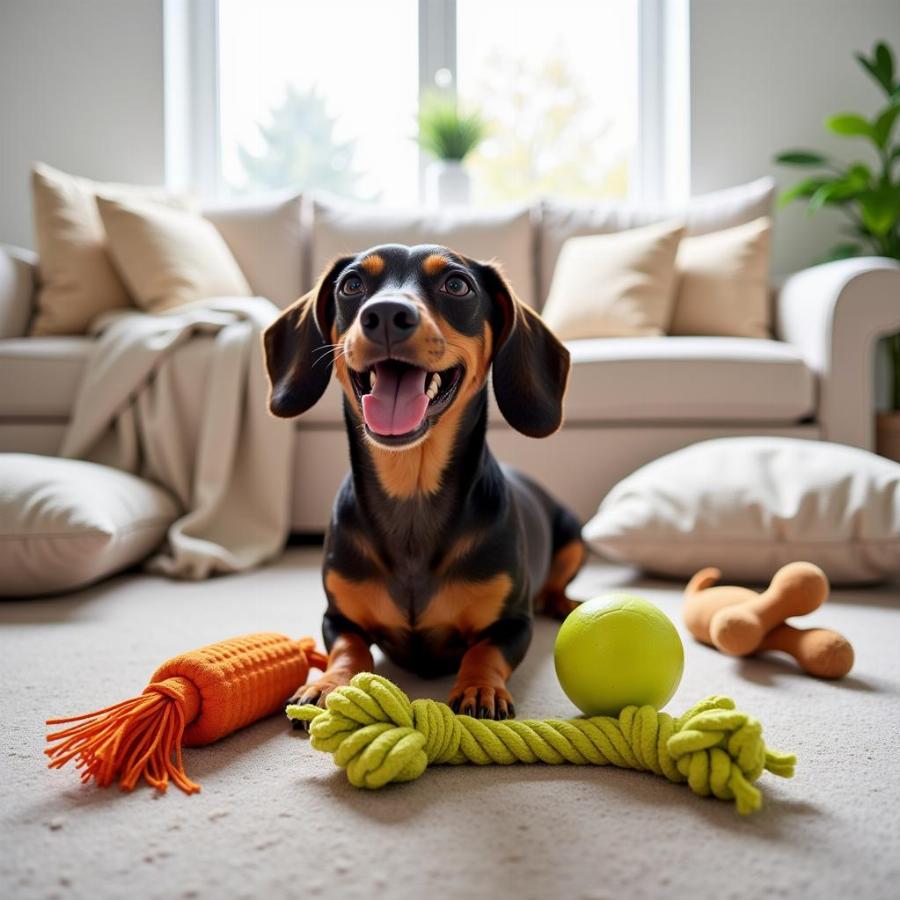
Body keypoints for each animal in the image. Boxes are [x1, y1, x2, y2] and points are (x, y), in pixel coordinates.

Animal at [262, 243, 584, 720]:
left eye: (457, 284)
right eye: (351, 284)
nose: (386, 314)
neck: (410, 491)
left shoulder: (513, 623)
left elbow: (484, 650)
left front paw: (479, 689)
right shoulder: (337, 618)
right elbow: (348, 648)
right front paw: (329, 683)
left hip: (575, 535)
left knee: (556, 586)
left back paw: (563, 603)